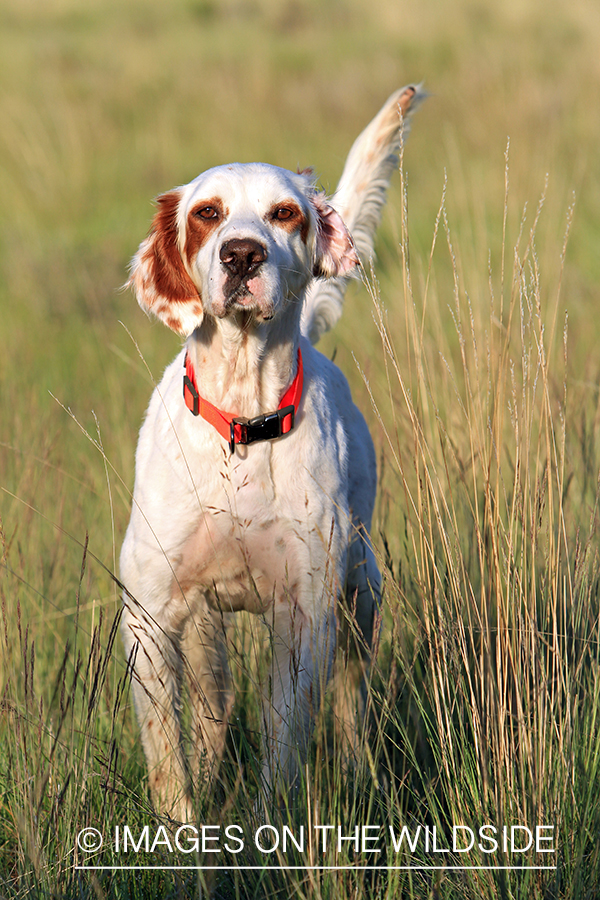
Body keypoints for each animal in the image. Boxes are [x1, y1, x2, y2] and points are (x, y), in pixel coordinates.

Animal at [120, 84, 422, 824]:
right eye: (207, 213)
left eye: (285, 213)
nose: (242, 255)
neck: (242, 422)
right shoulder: (150, 615)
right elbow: (167, 755)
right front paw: (182, 829)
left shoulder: (303, 615)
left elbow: (285, 744)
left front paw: (268, 825)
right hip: (205, 631)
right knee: (212, 713)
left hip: (360, 596)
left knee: (351, 709)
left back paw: (360, 777)